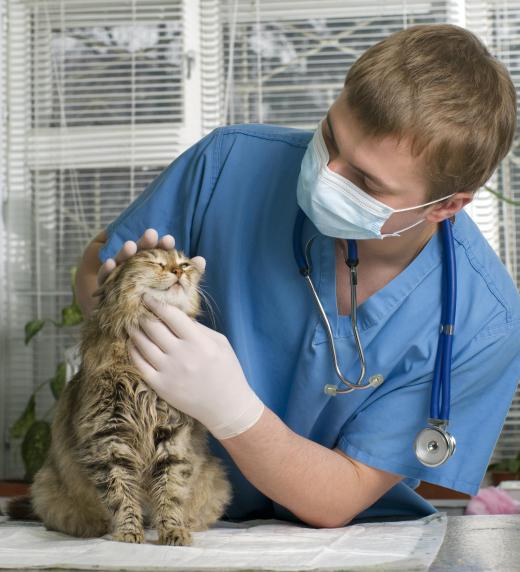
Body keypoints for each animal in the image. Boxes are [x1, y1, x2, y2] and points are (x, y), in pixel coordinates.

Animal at [7, 248, 231, 544]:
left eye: (184, 264)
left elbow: (169, 493)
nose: (178, 272)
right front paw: (128, 532)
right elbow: (121, 494)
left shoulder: (172, 437)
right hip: (45, 486)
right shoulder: (109, 438)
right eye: (155, 262)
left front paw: (172, 530)